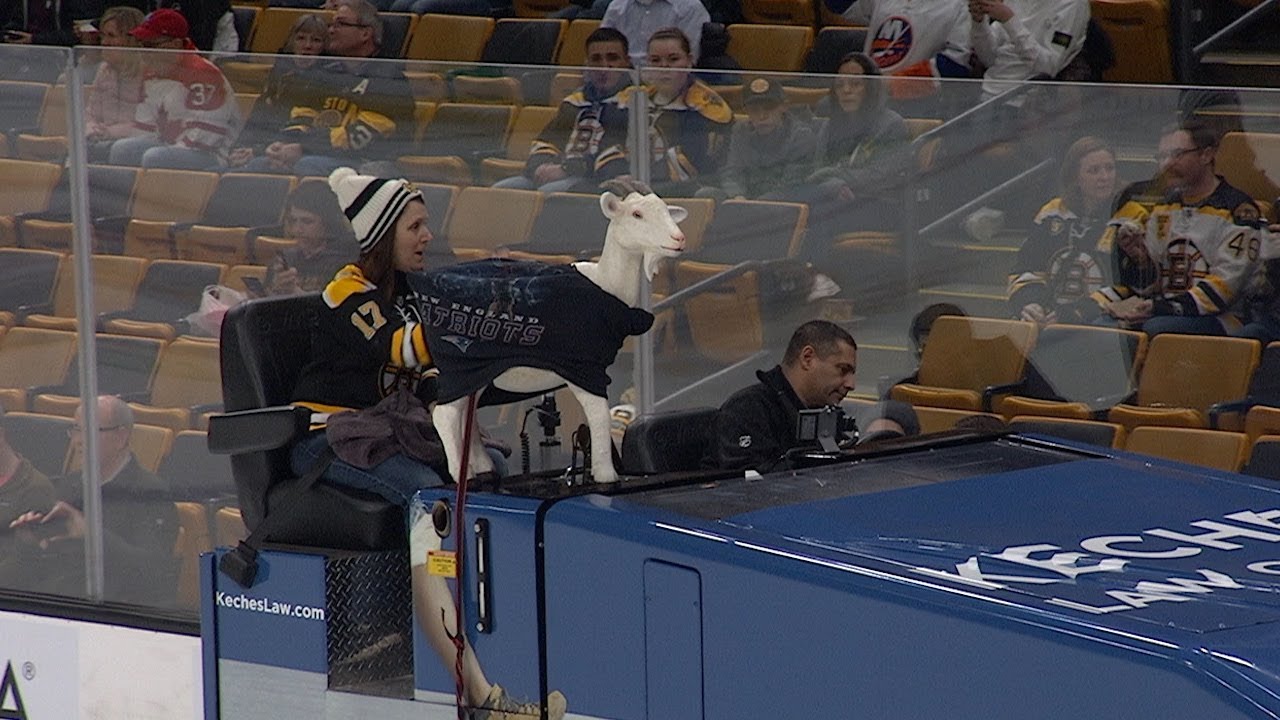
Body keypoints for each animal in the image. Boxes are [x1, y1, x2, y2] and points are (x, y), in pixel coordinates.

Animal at [432, 179, 691, 484]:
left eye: (666, 210)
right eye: (636, 214)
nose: (679, 239)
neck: (604, 282)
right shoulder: (582, 367)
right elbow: (599, 414)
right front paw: (606, 475)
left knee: (466, 416)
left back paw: (482, 466)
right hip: (460, 367)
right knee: (444, 415)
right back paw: (461, 474)